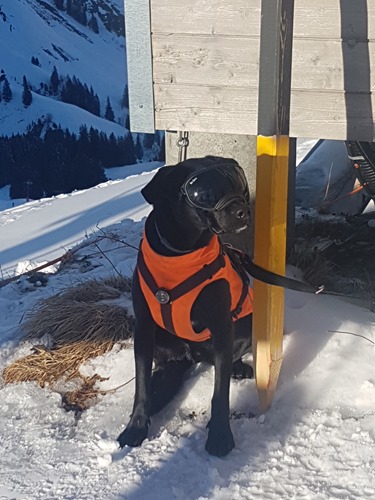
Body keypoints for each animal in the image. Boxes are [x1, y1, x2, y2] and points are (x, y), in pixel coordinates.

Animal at [119, 156, 256, 458]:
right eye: (203, 193)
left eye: (237, 182)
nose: (244, 210)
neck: (178, 254)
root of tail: (194, 355)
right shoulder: (143, 329)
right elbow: (141, 386)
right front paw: (136, 427)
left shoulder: (221, 325)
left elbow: (220, 392)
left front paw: (220, 436)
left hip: (246, 326)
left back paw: (239, 367)